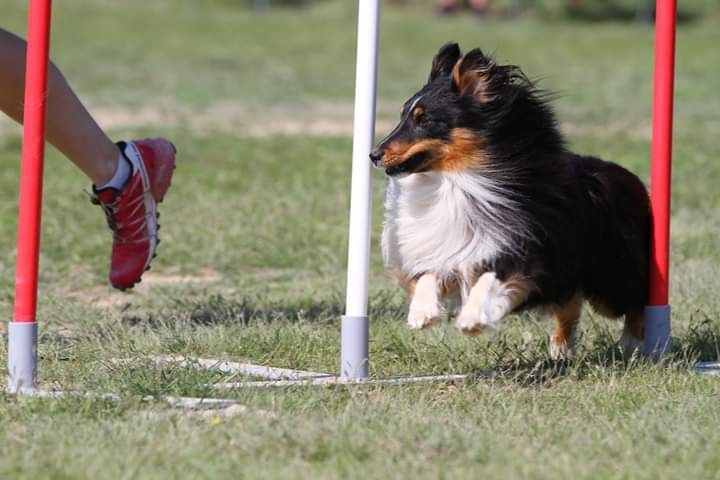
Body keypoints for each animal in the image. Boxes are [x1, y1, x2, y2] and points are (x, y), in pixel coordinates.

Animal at [374, 42, 648, 356]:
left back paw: (634, 343)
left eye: (424, 120)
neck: (456, 181)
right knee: (570, 305)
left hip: (610, 277)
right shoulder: (450, 248)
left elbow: (490, 279)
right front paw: (422, 314)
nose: (373, 154)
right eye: (403, 116)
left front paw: (472, 319)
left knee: (636, 300)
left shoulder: (520, 252)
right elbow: (429, 274)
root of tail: (626, 174)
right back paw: (560, 349)